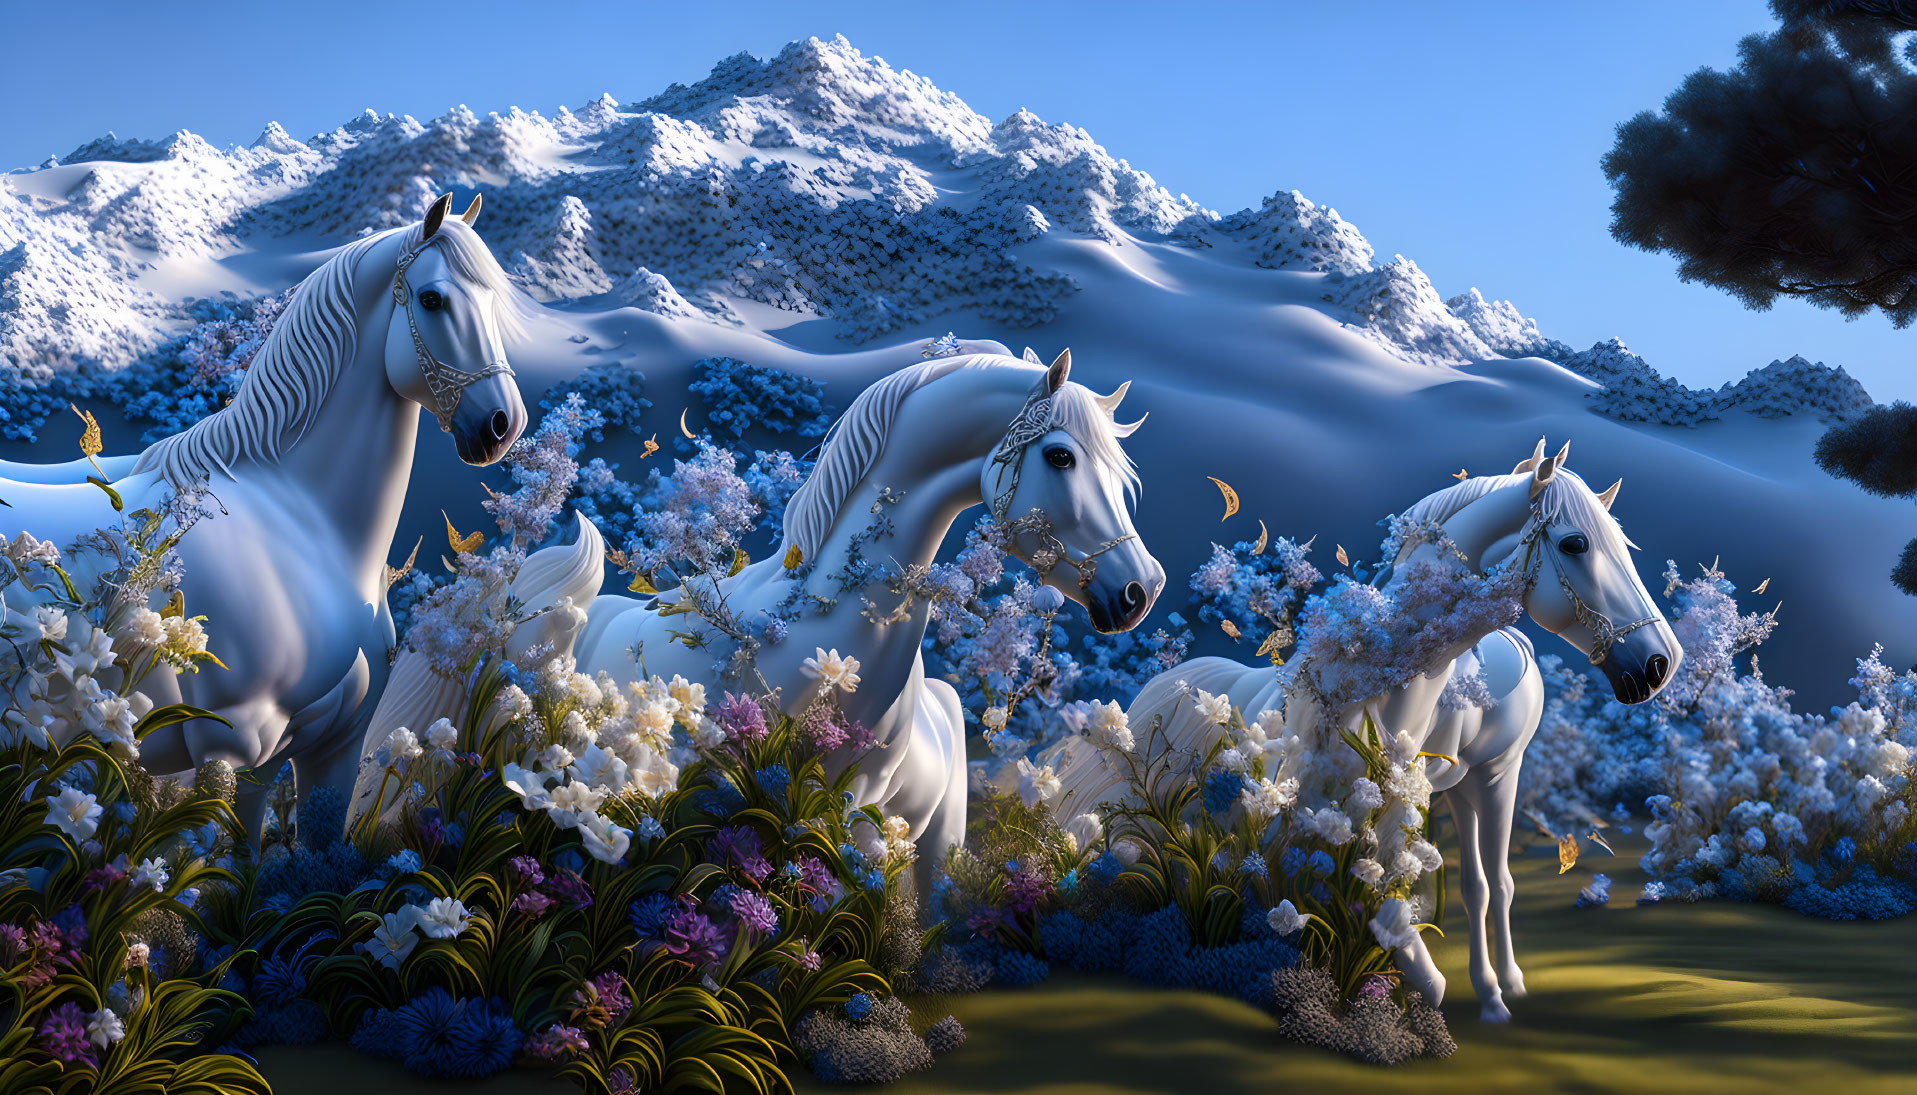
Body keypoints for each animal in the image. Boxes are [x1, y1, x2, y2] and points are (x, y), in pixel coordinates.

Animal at [0, 194, 525, 832]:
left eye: (493, 303)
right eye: (432, 299)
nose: (503, 426)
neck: (305, 528)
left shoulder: (325, 752)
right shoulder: (229, 746)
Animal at [1050, 441, 1679, 1027]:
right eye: (1576, 544)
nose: (1659, 664)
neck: (1375, 685)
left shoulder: (1424, 793)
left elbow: (1412, 894)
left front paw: (1441, 986)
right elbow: (1358, 895)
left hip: (1483, 780)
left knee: (1489, 884)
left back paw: (1500, 989)